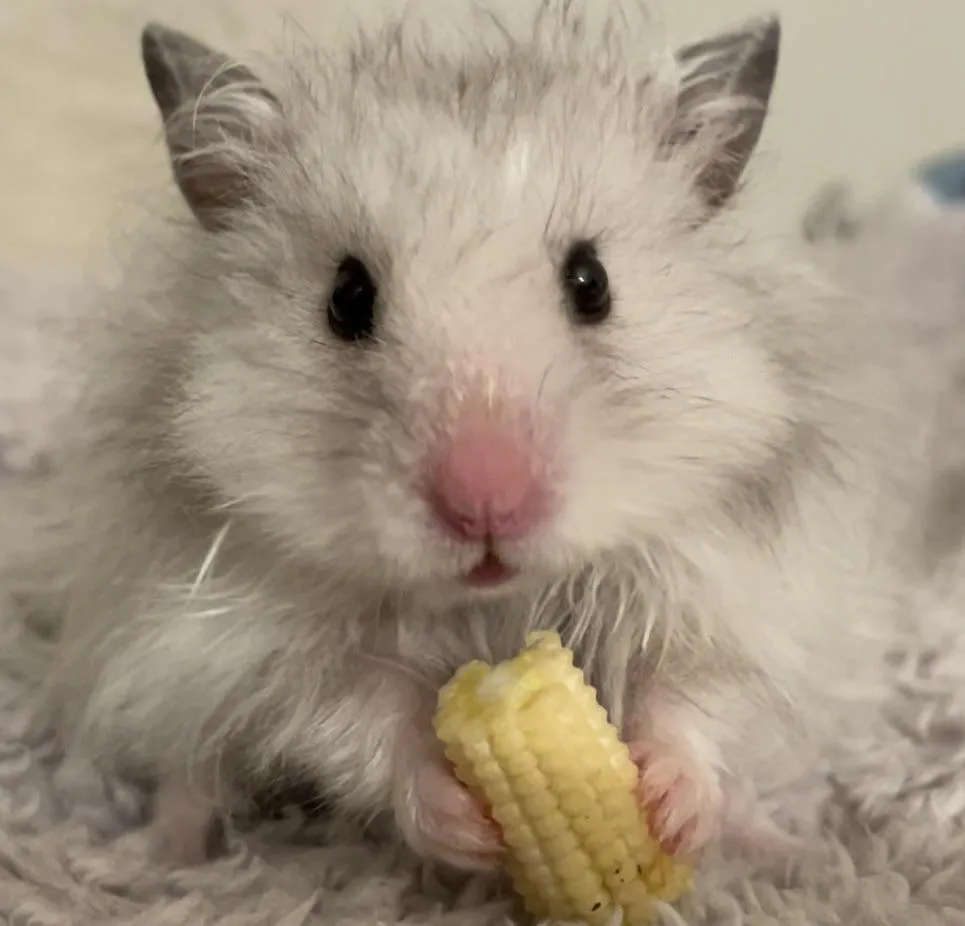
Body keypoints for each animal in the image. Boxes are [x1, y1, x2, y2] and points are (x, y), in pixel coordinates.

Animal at [12, 1, 922, 871]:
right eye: (347, 298)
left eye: (591, 281)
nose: (486, 509)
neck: (493, 604)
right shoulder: (261, 648)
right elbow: (359, 718)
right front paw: (464, 828)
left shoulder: (737, 597)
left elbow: (690, 693)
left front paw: (669, 806)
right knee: (189, 769)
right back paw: (161, 857)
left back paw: (780, 849)